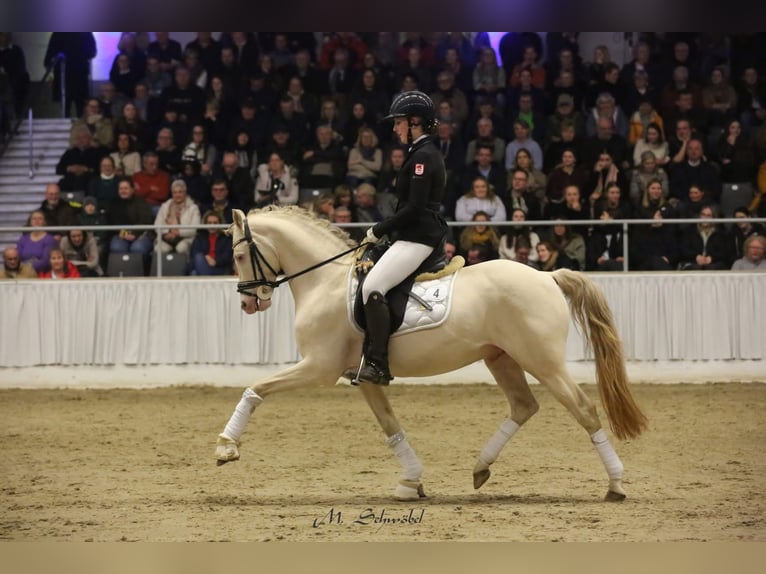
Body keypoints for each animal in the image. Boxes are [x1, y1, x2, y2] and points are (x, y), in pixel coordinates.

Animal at [214, 205, 648, 501]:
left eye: (238, 256)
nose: (249, 303)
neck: (326, 282)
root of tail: (547, 275)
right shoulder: (362, 375)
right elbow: (390, 426)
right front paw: (411, 481)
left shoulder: (318, 367)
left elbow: (256, 389)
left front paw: (226, 447)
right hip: (500, 357)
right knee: (524, 406)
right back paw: (480, 468)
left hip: (542, 360)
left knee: (584, 409)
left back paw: (616, 484)